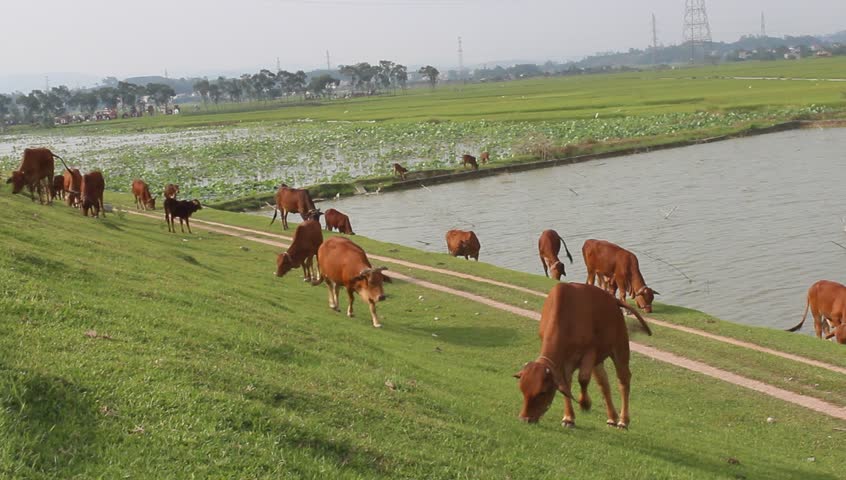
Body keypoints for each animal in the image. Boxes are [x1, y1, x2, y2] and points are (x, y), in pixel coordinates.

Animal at [514, 282, 652, 429]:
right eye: (522, 390)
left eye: (542, 392)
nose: (524, 419)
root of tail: (613, 300)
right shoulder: (564, 361)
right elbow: (566, 385)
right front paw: (568, 418)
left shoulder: (590, 351)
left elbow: (583, 378)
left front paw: (585, 404)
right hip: (598, 361)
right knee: (604, 383)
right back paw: (612, 418)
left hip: (620, 347)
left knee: (623, 380)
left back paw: (623, 421)